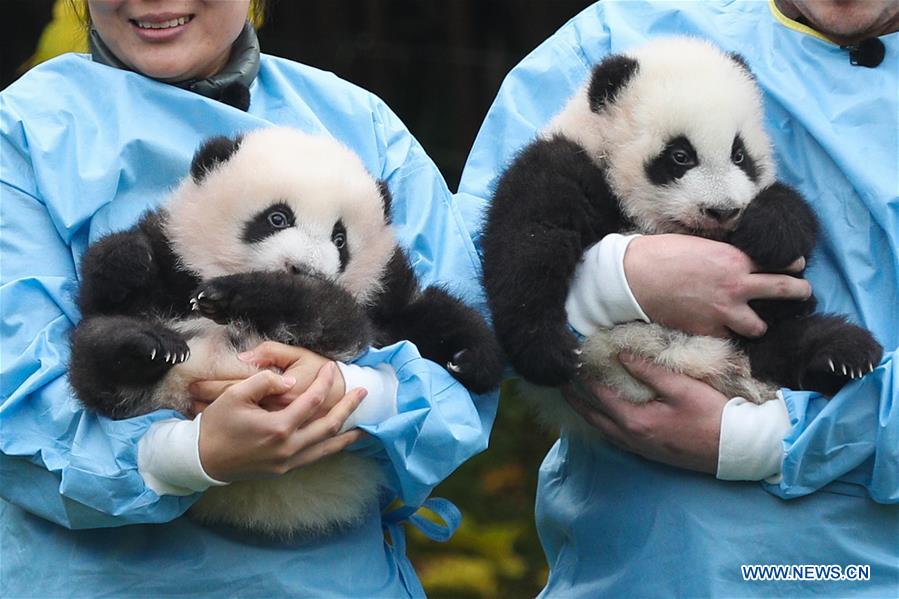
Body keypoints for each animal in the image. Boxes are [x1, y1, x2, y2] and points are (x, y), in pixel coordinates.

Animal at [68, 127, 503, 536]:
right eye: (277, 218)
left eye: (340, 238)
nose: (304, 269)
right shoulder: (173, 256)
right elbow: (104, 293)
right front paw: (127, 260)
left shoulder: (378, 296)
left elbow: (358, 315)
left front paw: (239, 293)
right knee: (94, 357)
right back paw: (147, 346)